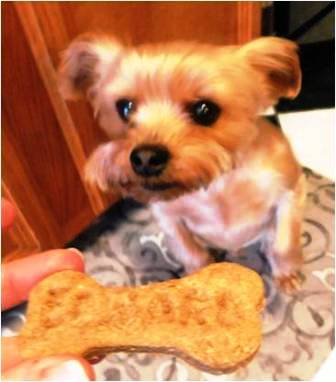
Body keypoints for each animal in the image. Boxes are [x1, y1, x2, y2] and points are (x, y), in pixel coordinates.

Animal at [59, 35, 306, 292]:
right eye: (125, 107)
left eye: (205, 109)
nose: (145, 158)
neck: (217, 186)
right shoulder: (169, 218)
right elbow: (192, 254)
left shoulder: (292, 190)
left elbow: (284, 244)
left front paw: (286, 273)